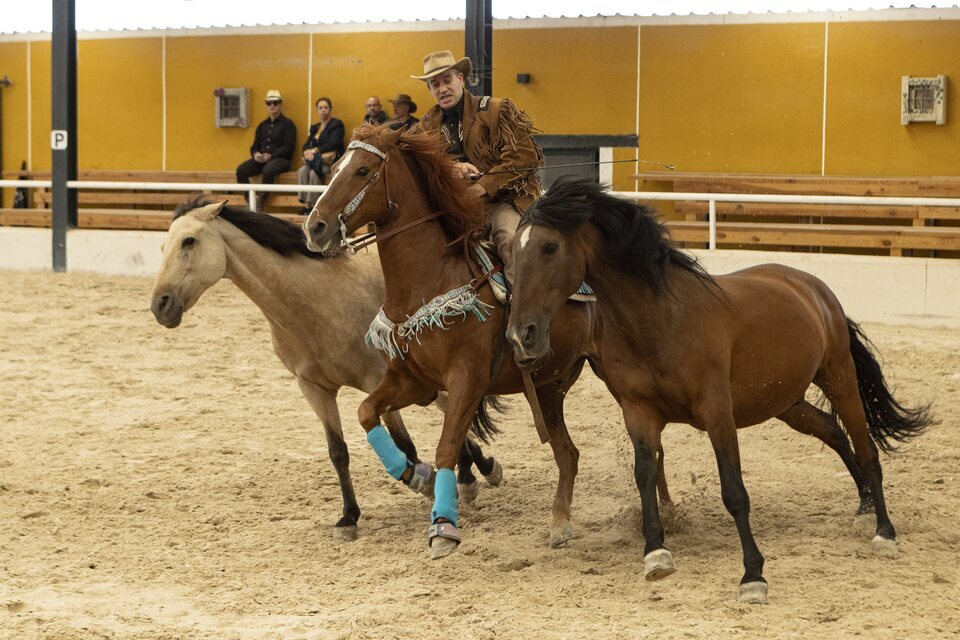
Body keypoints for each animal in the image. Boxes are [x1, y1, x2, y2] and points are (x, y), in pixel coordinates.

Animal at [304, 124, 608, 556]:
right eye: (335, 168)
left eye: (362, 170)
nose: (315, 228)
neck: (430, 279)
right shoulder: (413, 381)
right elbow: (366, 413)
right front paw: (414, 475)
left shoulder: (467, 379)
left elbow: (447, 446)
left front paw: (443, 524)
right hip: (550, 387)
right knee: (568, 454)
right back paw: (560, 523)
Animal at [506, 176, 932, 604]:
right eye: (511, 251)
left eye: (549, 247)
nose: (520, 335)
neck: (659, 320)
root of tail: (812, 287)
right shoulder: (638, 411)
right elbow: (645, 474)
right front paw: (656, 553)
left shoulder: (716, 412)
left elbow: (734, 491)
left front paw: (753, 576)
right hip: (786, 402)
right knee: (833, 431)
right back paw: (864, 507)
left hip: (839, 378)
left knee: (867, 449)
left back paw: (884, 532)